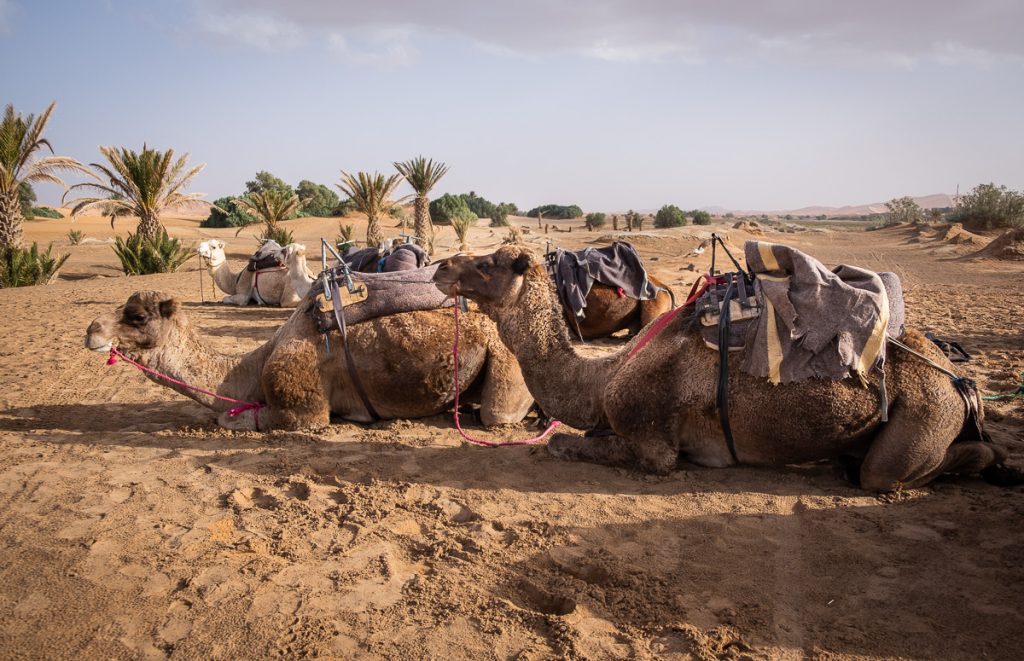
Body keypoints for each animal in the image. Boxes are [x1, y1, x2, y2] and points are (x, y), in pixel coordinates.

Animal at [83, 292, 532, 431]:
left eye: (137, 316)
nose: (91, 331)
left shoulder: (303, 407)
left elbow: (229, 418)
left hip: (506, 359)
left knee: (499, 414)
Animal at [434, 247, 1015, 491]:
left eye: (486, 263)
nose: (441, 266)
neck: (601, 381)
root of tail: (958, 380)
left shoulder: (654, 443)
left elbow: (561, 442)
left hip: (926, 412)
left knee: (887, 474)